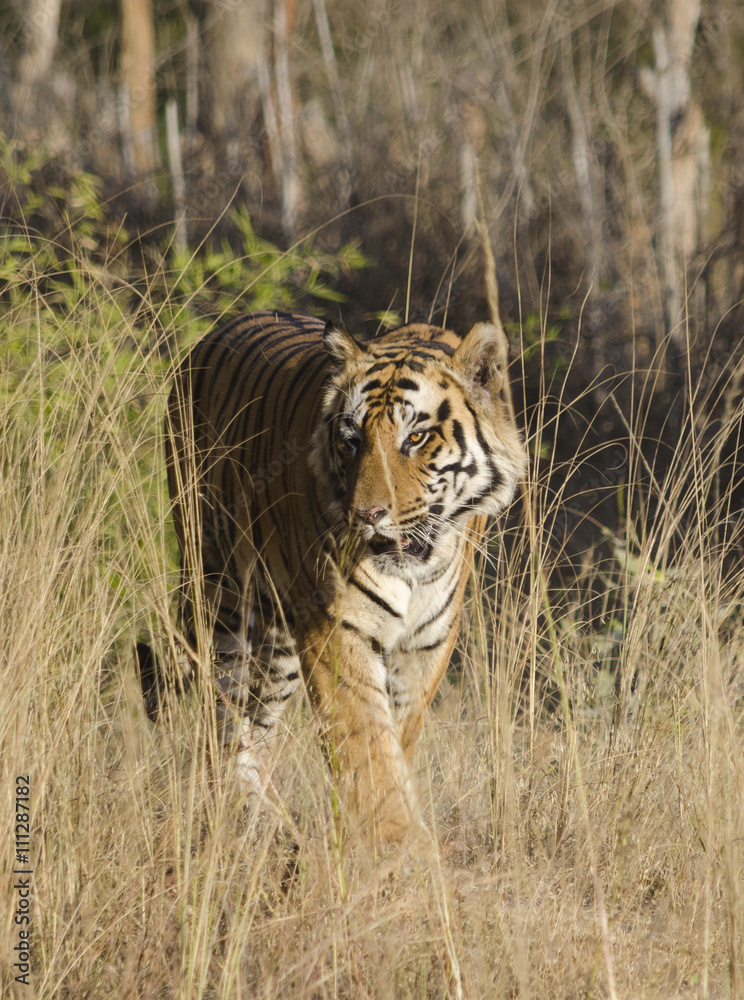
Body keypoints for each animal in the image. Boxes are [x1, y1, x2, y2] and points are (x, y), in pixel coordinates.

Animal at [138, 310, 526, 846]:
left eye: (416, 438)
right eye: (351, 441)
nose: (367, 515)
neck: (418, 569)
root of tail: (211, 334)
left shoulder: (427, 642)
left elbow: (396, 741)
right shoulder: (336, 629)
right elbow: (368, 746)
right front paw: (396, 846)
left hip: (278, 637)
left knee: (256, 725)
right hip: (220, 589)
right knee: (223, 721)